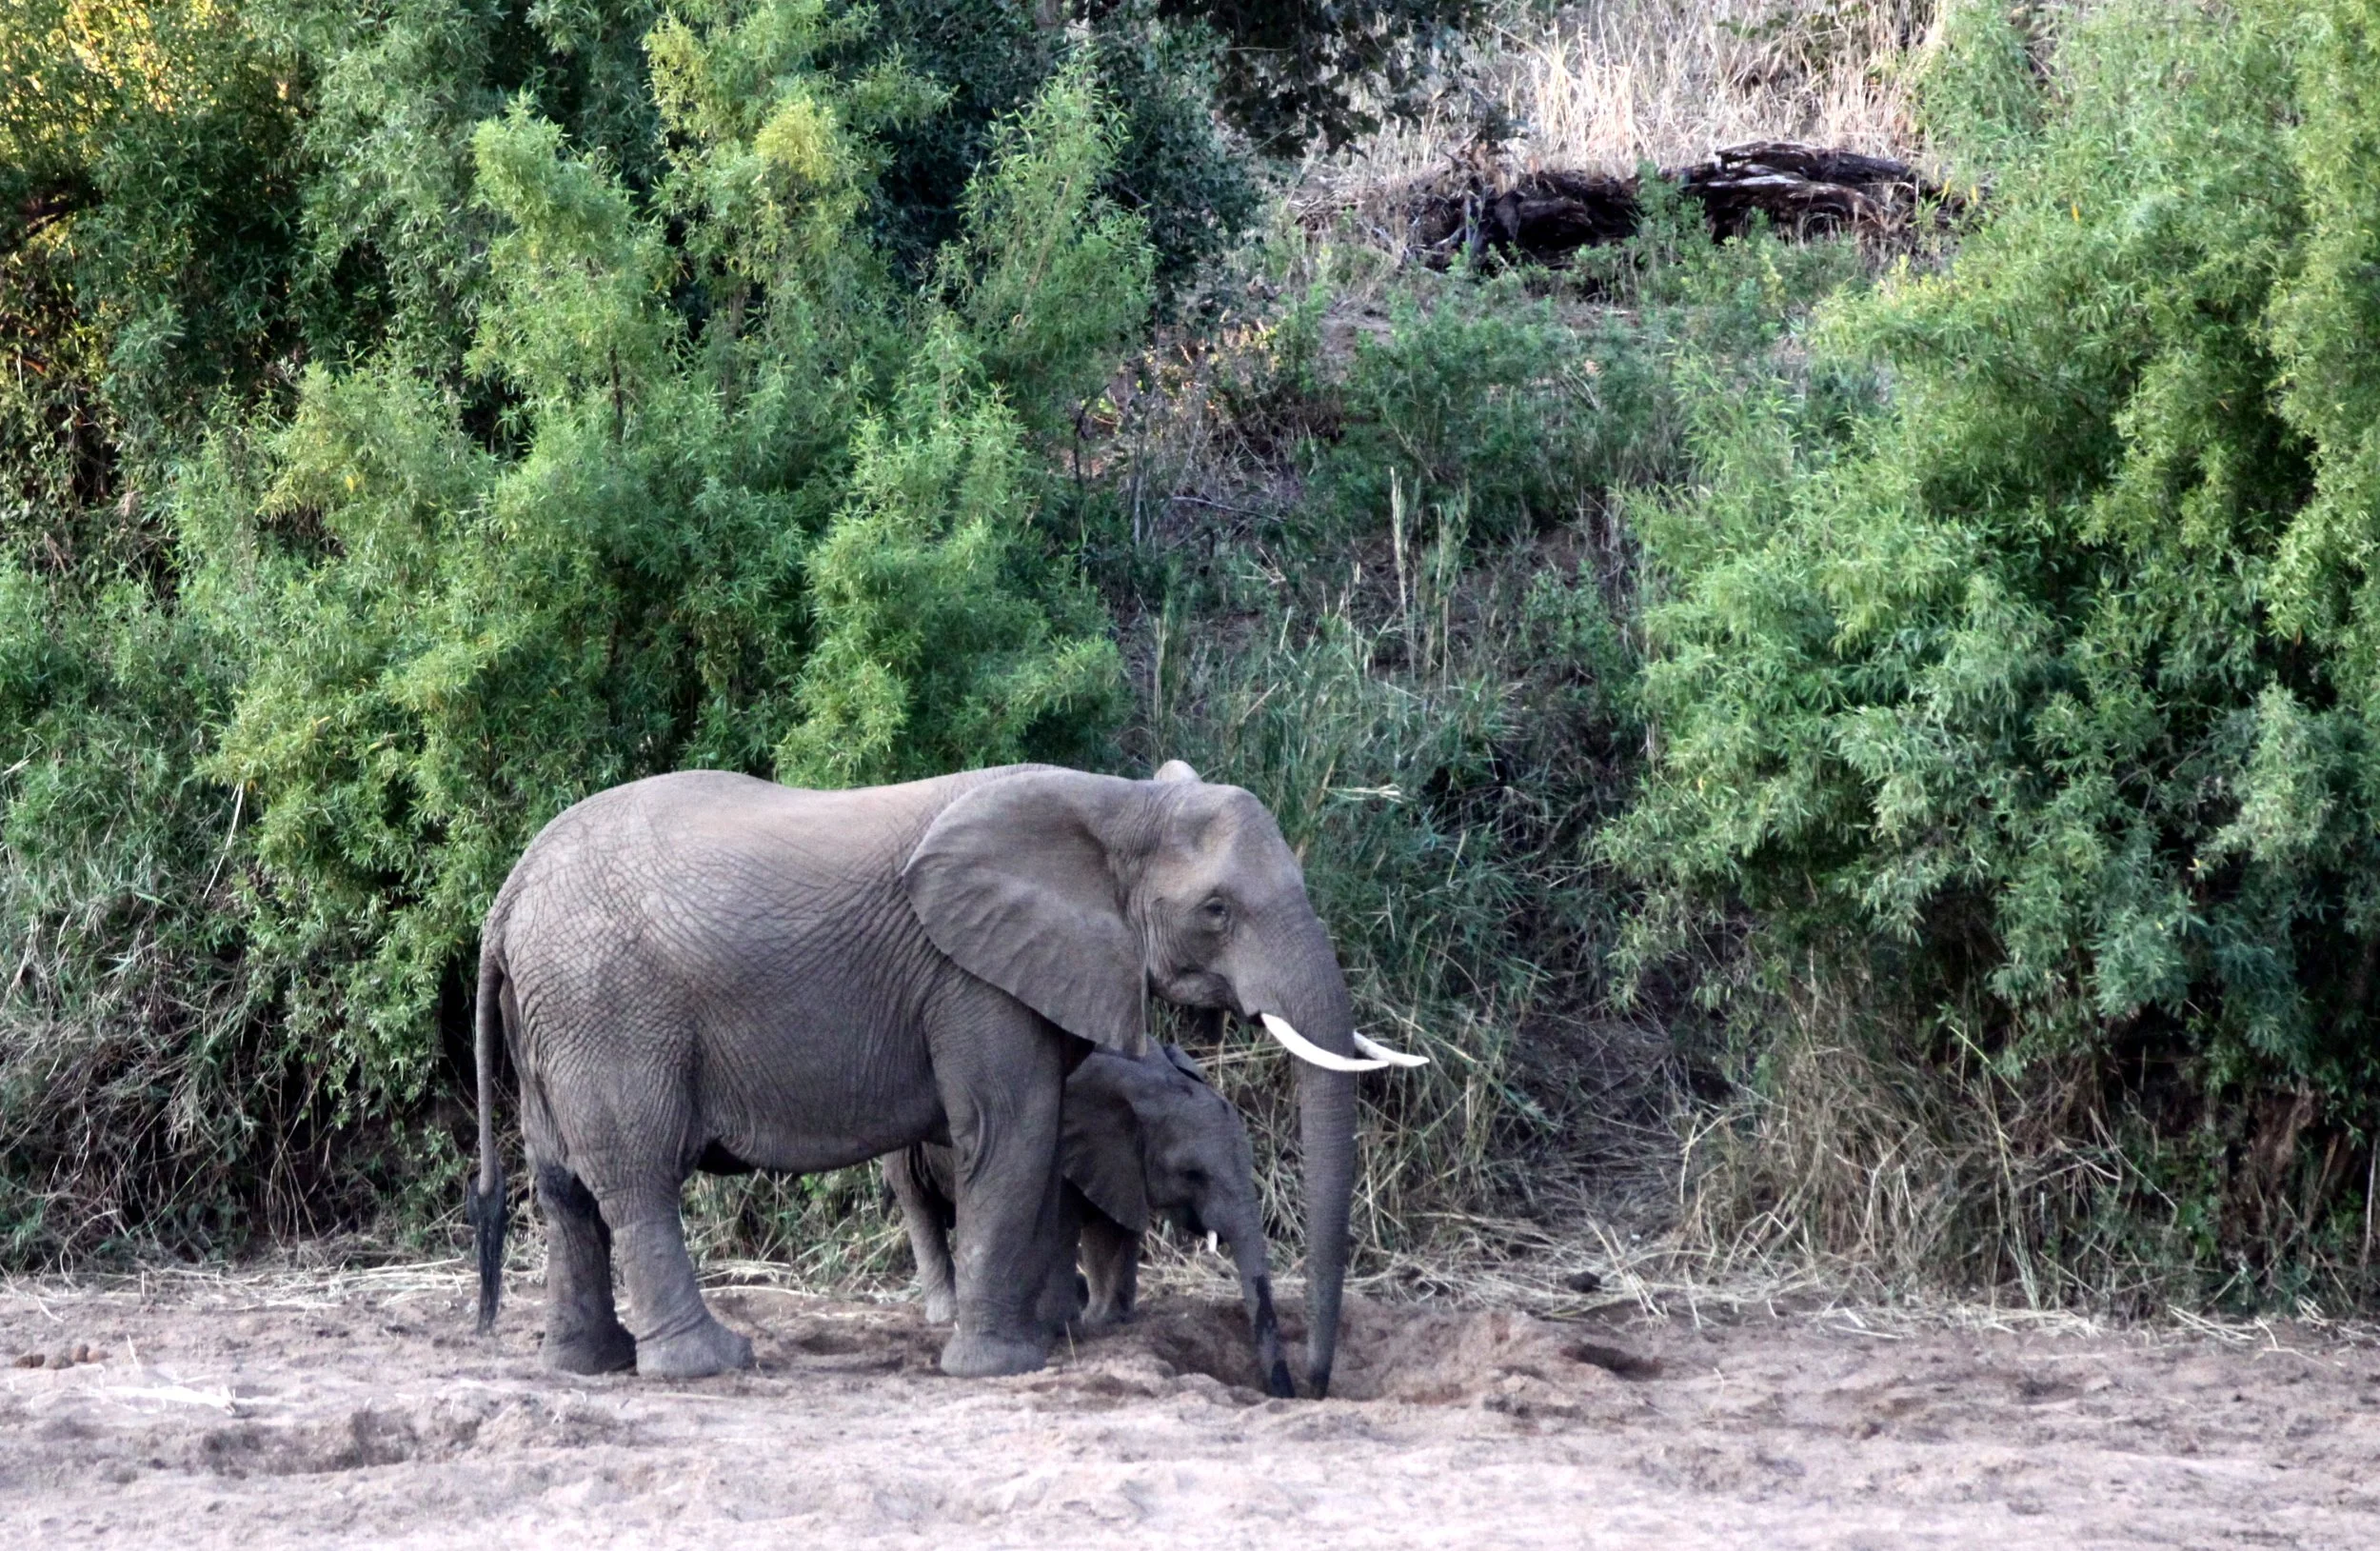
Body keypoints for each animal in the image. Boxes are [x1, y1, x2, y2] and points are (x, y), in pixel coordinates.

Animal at [884, 1039, 1294, 1397]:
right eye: (1192, 1174)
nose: (1283, 1392)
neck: (1147, 1081)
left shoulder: (1121, 1159)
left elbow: (1115, 1227)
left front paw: (1107, 1320)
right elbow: (1063, 1226)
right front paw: (1065, 1324)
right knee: (918, 1204)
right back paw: (949, 1314)